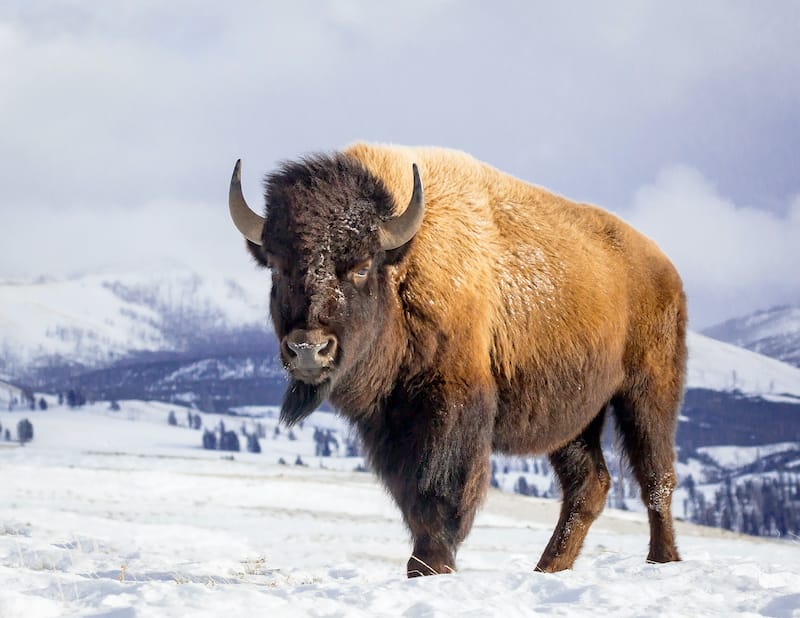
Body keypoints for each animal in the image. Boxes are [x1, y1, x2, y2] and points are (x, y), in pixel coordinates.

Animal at [227, 142, 688, 576]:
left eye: (360, 266)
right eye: (276, 268)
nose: (309, 348)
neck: (403, 264)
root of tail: (665, 267)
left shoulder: (450, 407)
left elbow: (438, 489)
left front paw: (428, 567)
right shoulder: (389, 423)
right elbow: (410, 495)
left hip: (646, 393)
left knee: (656, 477)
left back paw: (661, 560)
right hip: (574, 419)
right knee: (589, 484)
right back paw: (548, 567)